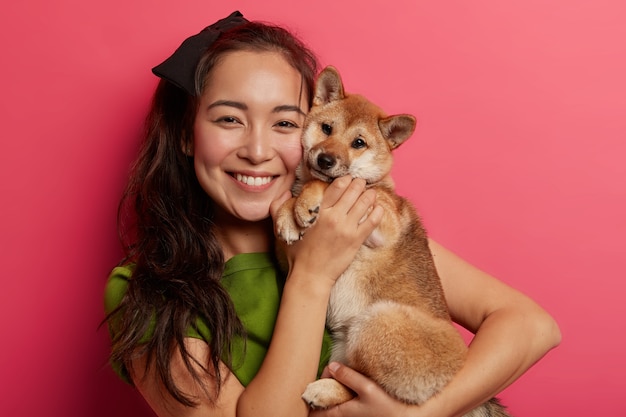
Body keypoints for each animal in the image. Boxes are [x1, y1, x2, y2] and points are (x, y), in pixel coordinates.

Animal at [276, 66, 510, 414]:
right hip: (345, 344)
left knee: (364, 387)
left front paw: (306, 201)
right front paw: (286, 215)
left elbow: (333, 183)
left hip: (377, 321)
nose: (326, 160)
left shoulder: (382, 218)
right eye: (326, 128)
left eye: (359, 143)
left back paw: (324, 391)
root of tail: (458, 369)